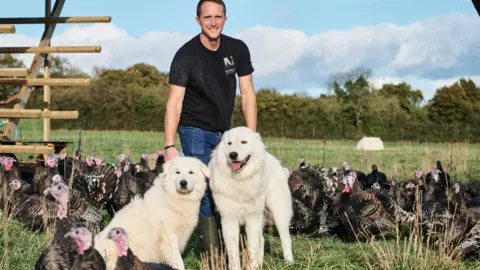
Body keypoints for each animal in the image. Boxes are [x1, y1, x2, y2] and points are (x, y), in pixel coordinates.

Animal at [209, 126, 292, 270]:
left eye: (243, 142)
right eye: (229, 143)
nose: (233, 155)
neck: (240, 179)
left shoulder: (252, 219)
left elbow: (252, 248)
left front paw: (252, 266)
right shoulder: (229, 221)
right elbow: (233, 253)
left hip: (278, 212)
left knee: (286, 238)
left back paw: (289, 262)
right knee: (262, 240)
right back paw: (260, 264)